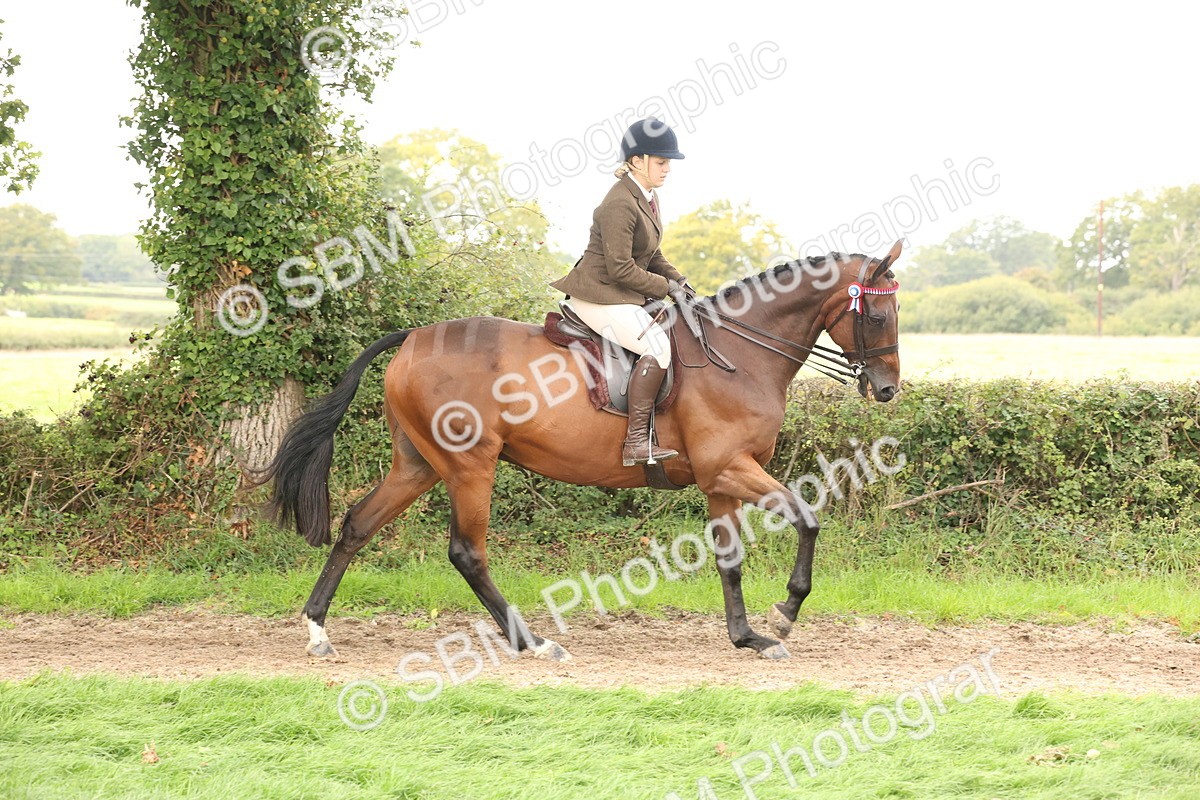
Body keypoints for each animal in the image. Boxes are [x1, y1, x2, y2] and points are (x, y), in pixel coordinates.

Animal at [265, 240, 902, 661]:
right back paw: (532, 641)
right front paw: (786, 614)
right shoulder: (731, 468)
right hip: (471, 465)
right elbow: (808, 518)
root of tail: (413, 338)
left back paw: (317, 629)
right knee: (467, 553)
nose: (888, 390)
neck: (740, 355)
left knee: (358, 524)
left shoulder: (721, 479)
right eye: (876, 314)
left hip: (418, 464)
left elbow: (730, 559)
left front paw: (747, 636)